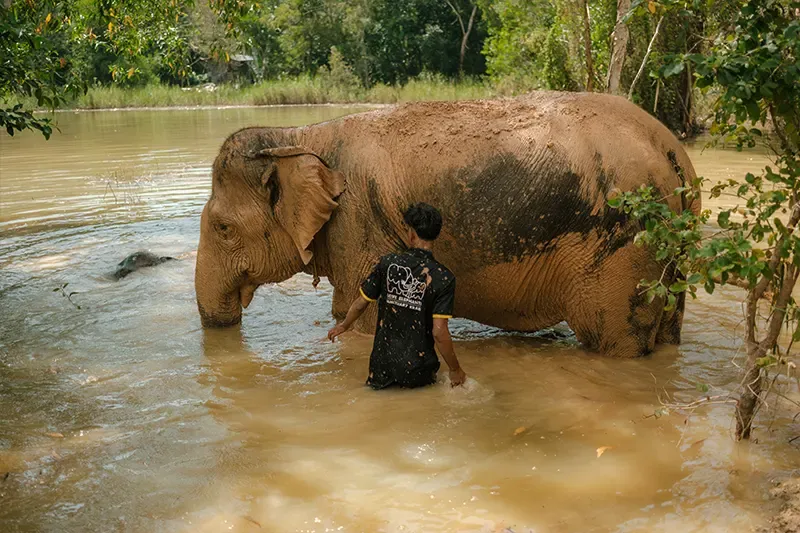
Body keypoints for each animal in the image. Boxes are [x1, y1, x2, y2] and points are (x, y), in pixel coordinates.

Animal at [195, 92, 699, 358]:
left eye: (222, 228)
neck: (300, 137)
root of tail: (672, 149)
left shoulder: (360, 225)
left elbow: (357, 316)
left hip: (625, 245)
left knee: (612, 339)